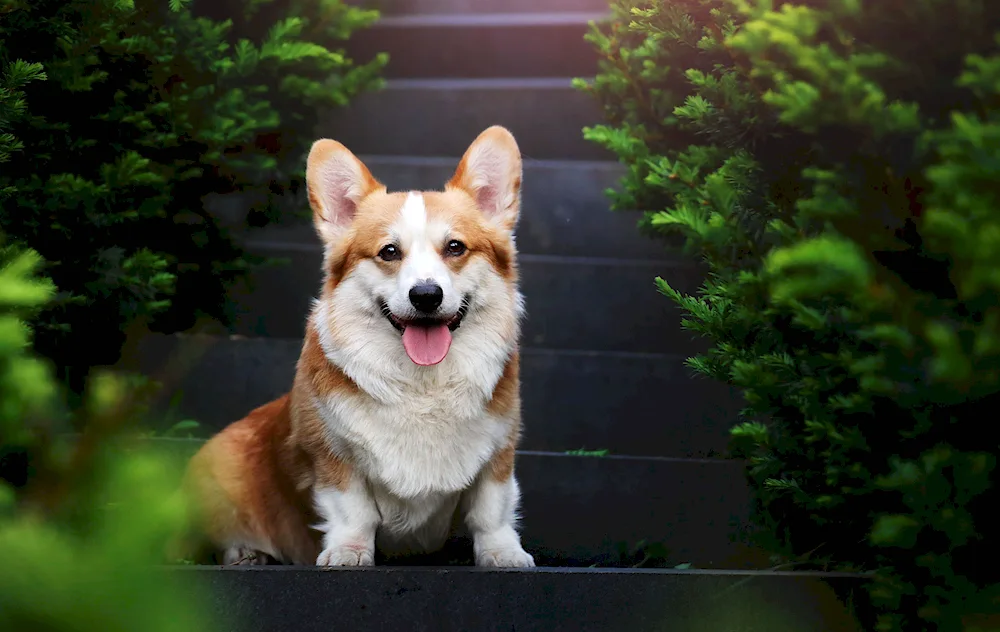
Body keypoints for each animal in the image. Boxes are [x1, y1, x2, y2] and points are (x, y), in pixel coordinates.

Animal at [183, 124, 536, 568]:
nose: (426, 295)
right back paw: (245, 553)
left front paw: (503, 552)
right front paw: (348, 552)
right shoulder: (332, 456)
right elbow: (353, 510)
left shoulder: (499, 452)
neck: (423, 384)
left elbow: (492, 509)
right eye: (389, 251)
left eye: (455, 247)